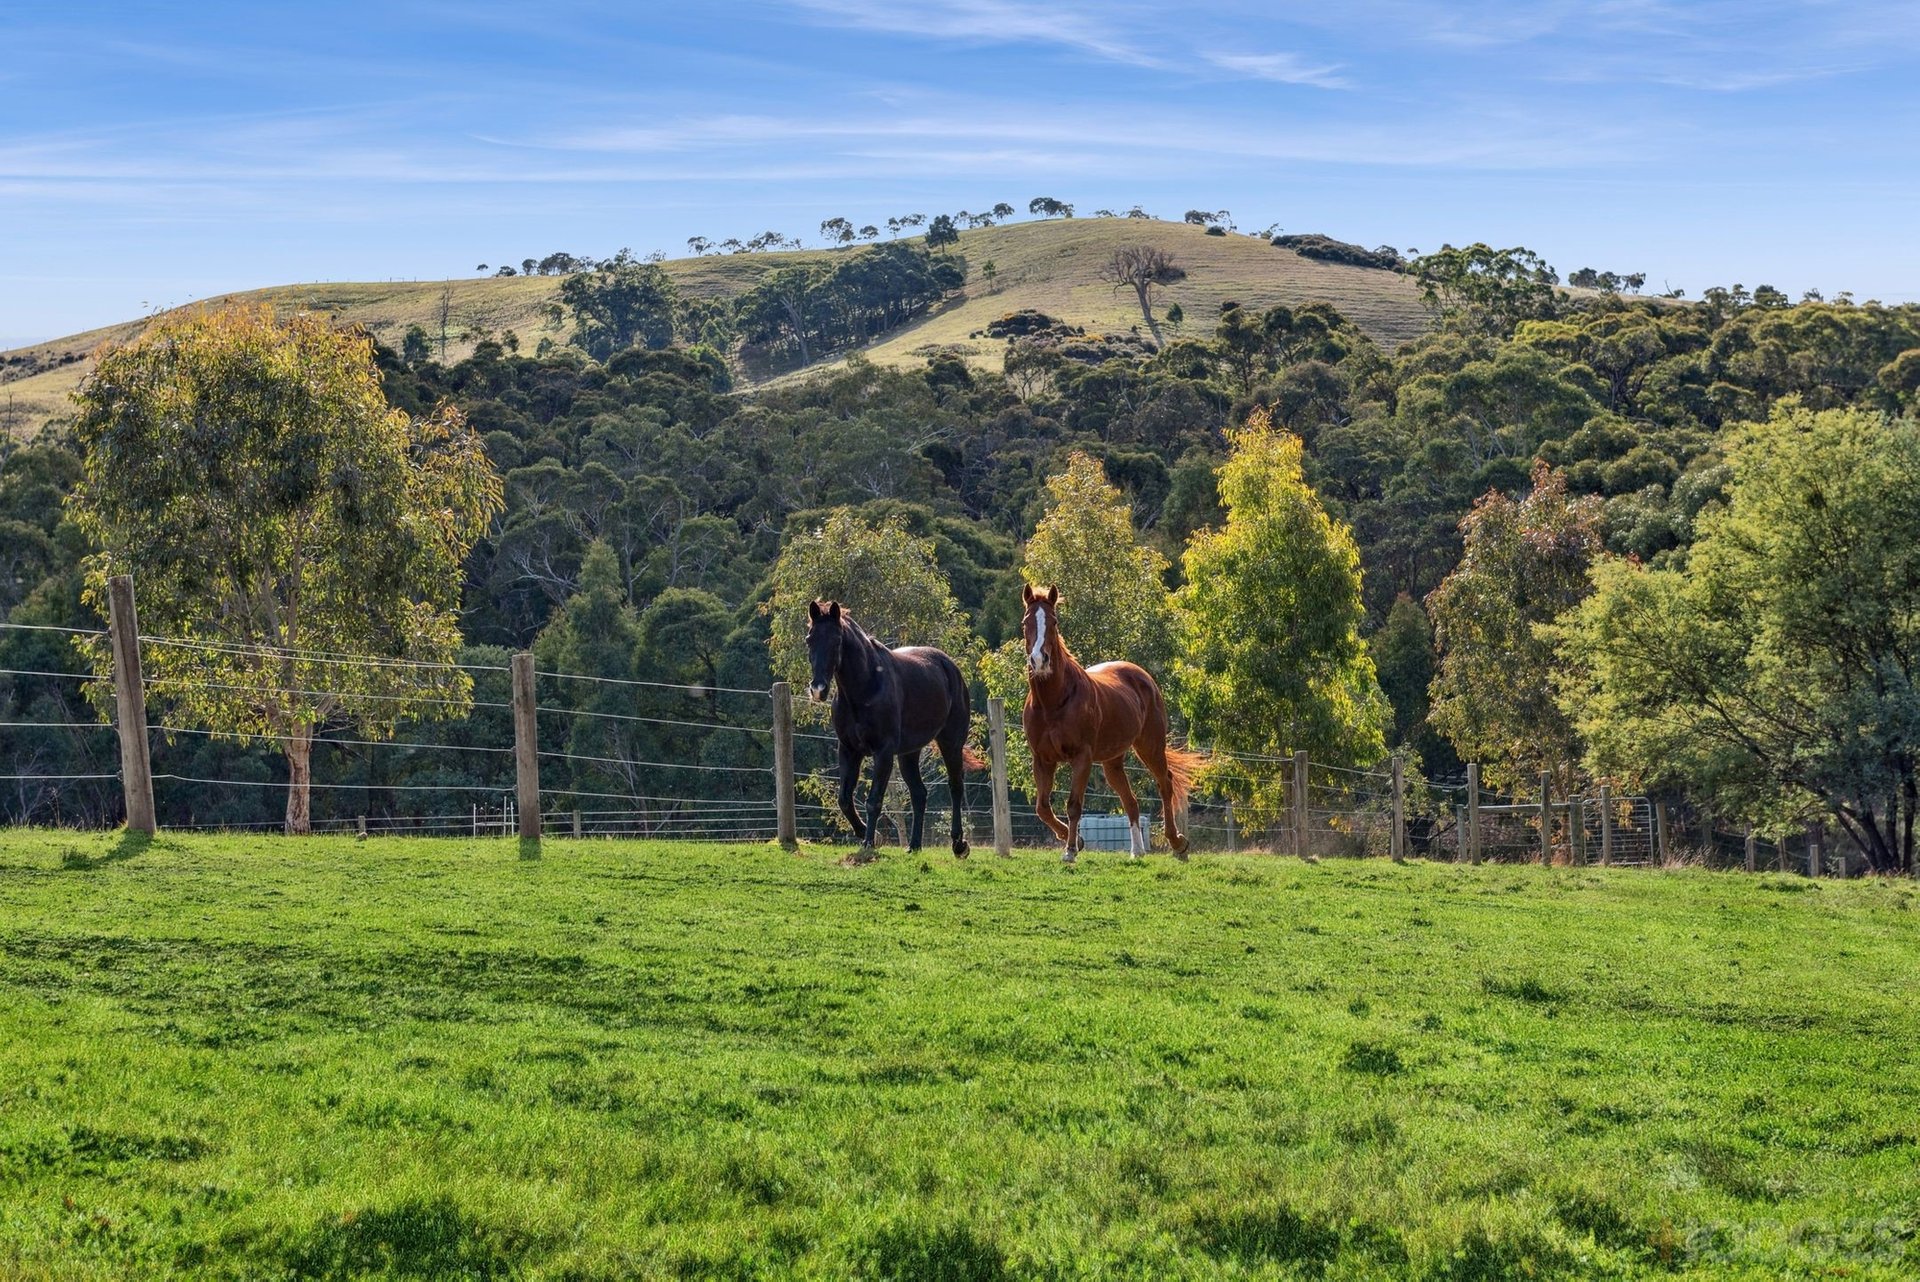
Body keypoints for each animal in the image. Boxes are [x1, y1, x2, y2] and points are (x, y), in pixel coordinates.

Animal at [1021, 587, 1198, 867]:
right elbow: (1042, 807)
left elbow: (1074, 805)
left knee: (1165, 784)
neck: (1054, 702)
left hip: (1150, 747)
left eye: (1054, 622)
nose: (1039, 661)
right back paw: (1137, 851)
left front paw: (1070, 850)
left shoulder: (1081, 757)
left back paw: (1178, 843)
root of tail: (1143, 676)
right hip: (1112, 762)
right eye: (1025, 623)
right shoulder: (1042, 759)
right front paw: (1077, 841)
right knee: (1131, 801)